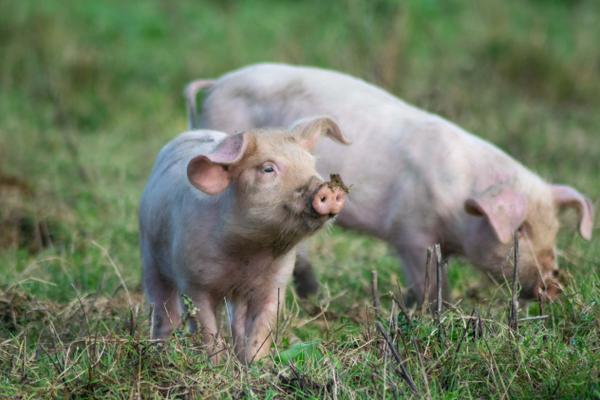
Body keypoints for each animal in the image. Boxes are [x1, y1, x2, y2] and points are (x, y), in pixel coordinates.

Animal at [138, 117, 350, 364]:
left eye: (311, 164)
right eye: (268, 168)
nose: (329, 189)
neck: (247, 251)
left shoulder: (275, 284)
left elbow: (261, 328)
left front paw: (257, 365)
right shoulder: (192, 281)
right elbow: (208, 328)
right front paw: (216, 365)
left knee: (236, 322)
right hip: (149, 255)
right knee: (164, 310)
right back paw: (159, 352)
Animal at [186, 64, 596, 304]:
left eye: (554, 230)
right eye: (520, 230)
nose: (553, 285)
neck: (460, 200)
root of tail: (219, 82)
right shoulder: (412, 231)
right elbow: (427, 281)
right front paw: (437, 311)